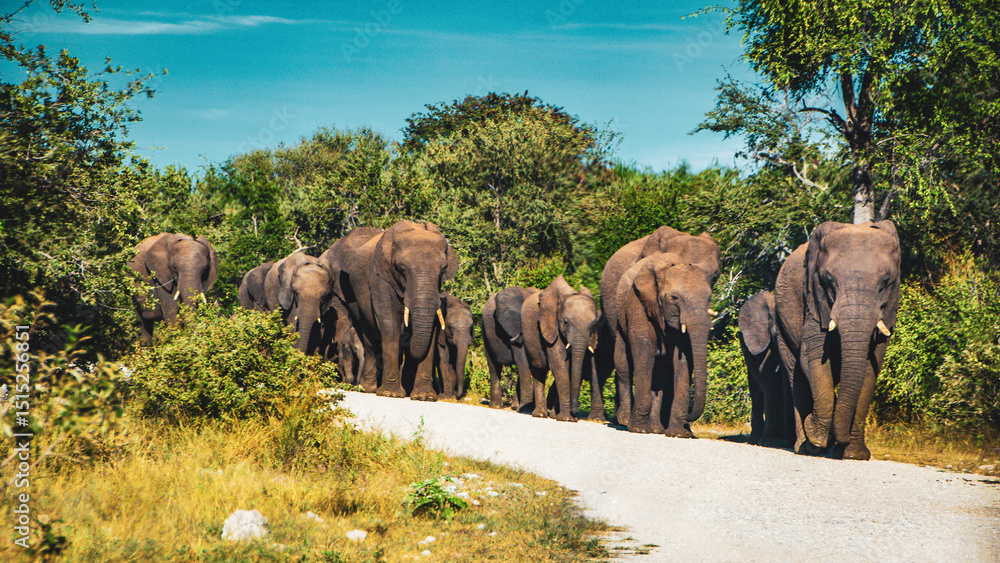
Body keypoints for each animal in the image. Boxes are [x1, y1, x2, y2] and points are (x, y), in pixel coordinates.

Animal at [324, 221, 458, 400]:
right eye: (402, 269)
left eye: (443, 271)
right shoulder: (380, 277)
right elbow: (390, 323)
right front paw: (391, 394)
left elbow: (433, 328)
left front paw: (425, 397)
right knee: (370, 341)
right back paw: (369, 388)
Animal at [521, 276, 602, 422]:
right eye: (565, 322)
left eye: (593, 325)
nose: (575, 414)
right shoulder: (551, 326)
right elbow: (560, 366)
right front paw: (566, 419)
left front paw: (564, 417)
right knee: (538, 369)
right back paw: (540, 414)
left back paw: (553, 415)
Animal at [614, 253, 713, 437]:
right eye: (674, 298)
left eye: (709, 298)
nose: (688, 417)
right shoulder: (638, 302)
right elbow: (644, 349)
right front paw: (639, 429)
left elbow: (683, 360)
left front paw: (679, 434)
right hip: (618, 315)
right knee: (623, 365)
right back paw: (624, 421)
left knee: (659, 375)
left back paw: (656, 429)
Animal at [774, 220, 901, 460]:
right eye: (829, 280)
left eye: (885, 282)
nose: (835, 439)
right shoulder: (815, 300)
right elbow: (813, 358)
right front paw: (818, 438)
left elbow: (870, 368)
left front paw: (854, 455)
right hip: (781, 322)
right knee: (795, 374)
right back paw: (805, 447)